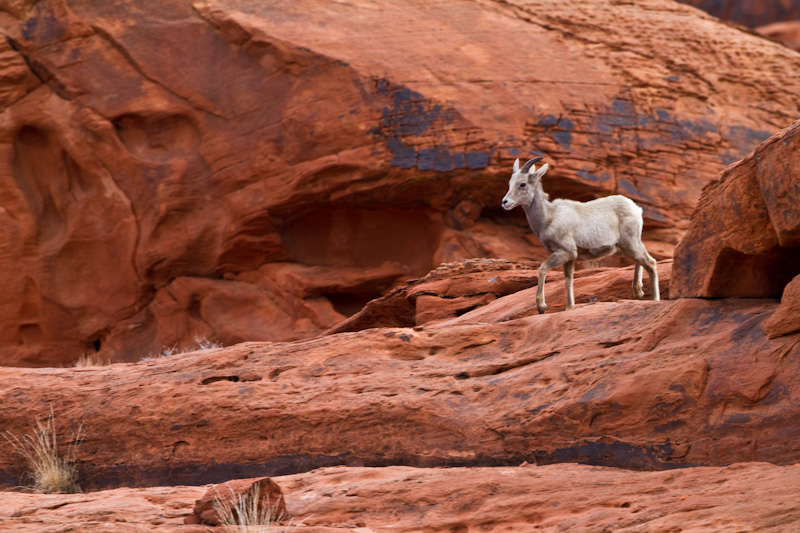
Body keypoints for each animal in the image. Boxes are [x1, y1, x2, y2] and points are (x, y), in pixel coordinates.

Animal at [500, 158, 664, 314]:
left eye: (522, 184)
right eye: (509, 183)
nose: (505, 202)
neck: (548, 218)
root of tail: (637, 209)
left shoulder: (565, 252)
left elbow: (542, 268)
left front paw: (541, 307)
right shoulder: (570, 258)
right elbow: (568, 281)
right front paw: (569, 308)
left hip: (630, 243)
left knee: (650, 262)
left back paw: (654, 299)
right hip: (626, 246)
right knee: (641, 260)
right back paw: (639, 293)